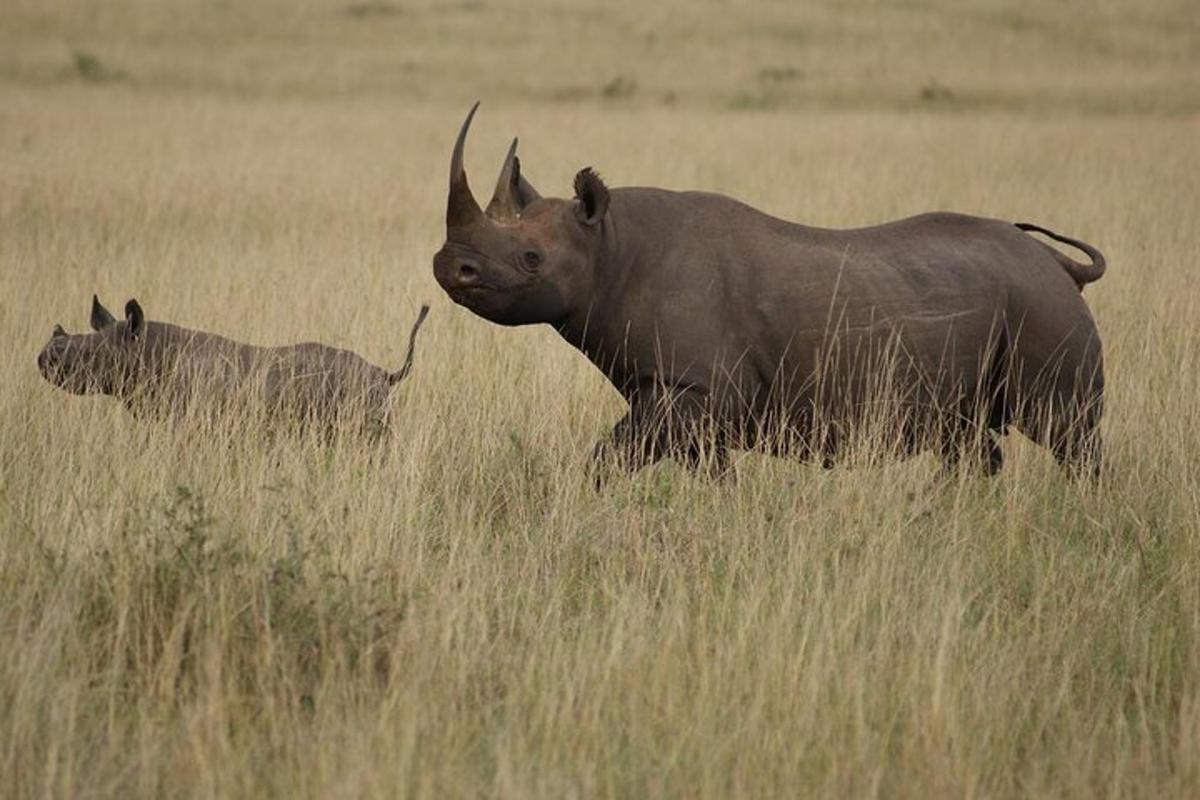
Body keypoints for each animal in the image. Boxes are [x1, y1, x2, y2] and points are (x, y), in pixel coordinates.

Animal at [432, 102, 1104, 479]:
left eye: (530, 259)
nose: (448, 267)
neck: (608, 247)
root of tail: (1059, 265)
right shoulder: (681, 392)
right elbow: (704, 473)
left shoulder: (695, 388)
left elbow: (611, 456)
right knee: (966, 441)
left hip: (1041, 305)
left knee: (1069, 435)